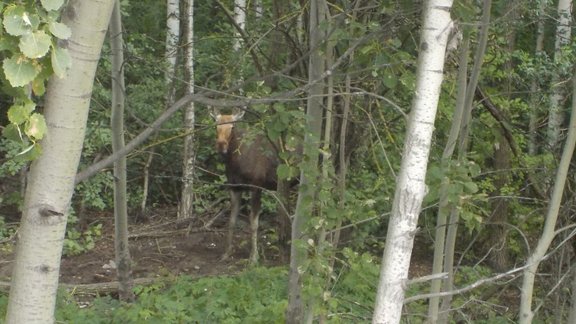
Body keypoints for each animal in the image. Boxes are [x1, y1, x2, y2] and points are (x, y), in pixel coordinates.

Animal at [213, 109, 282, 264]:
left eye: (232, 126)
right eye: (216, 125)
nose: (221, 144)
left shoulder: (256, 185)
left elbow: (254, 222)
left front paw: (254, 257)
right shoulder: (234, 187)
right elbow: (232, 220)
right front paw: (226, 253)